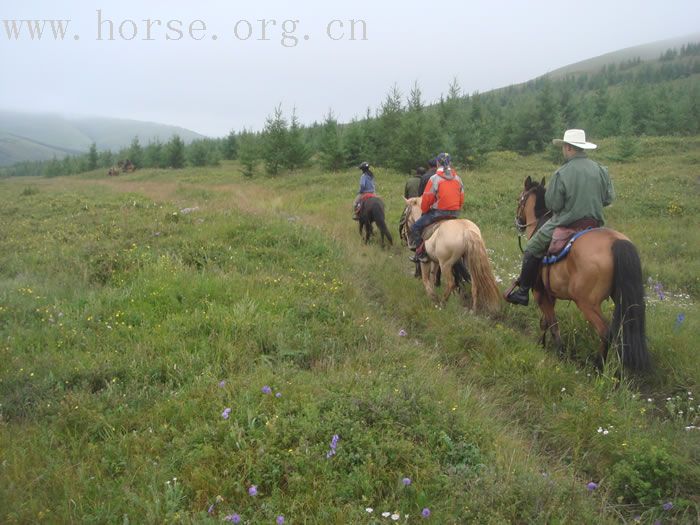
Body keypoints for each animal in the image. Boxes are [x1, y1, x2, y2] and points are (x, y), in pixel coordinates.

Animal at [516, 174, 652, 370]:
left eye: (519, 199)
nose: (519, 222)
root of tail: (615, 241)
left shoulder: (539, 292)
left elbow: (552, 324)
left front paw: (557, 351)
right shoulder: (550, 293)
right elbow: (545, 322)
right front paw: (542, 346)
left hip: (587, 303)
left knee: (606, 332)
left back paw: (598, 366)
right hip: (623, 300)